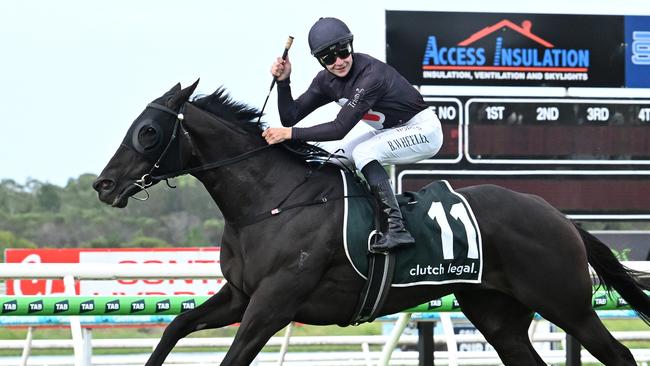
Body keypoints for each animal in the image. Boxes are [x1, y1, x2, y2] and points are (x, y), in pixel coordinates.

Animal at [92, 81, 648, 366]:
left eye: (148, 131)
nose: (103, 184)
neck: (270, 202)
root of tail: (558, 215)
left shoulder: (272, 304)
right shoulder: (241, 296)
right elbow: (175, 327)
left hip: (565, 303)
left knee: (618, 354)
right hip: (498, 314)